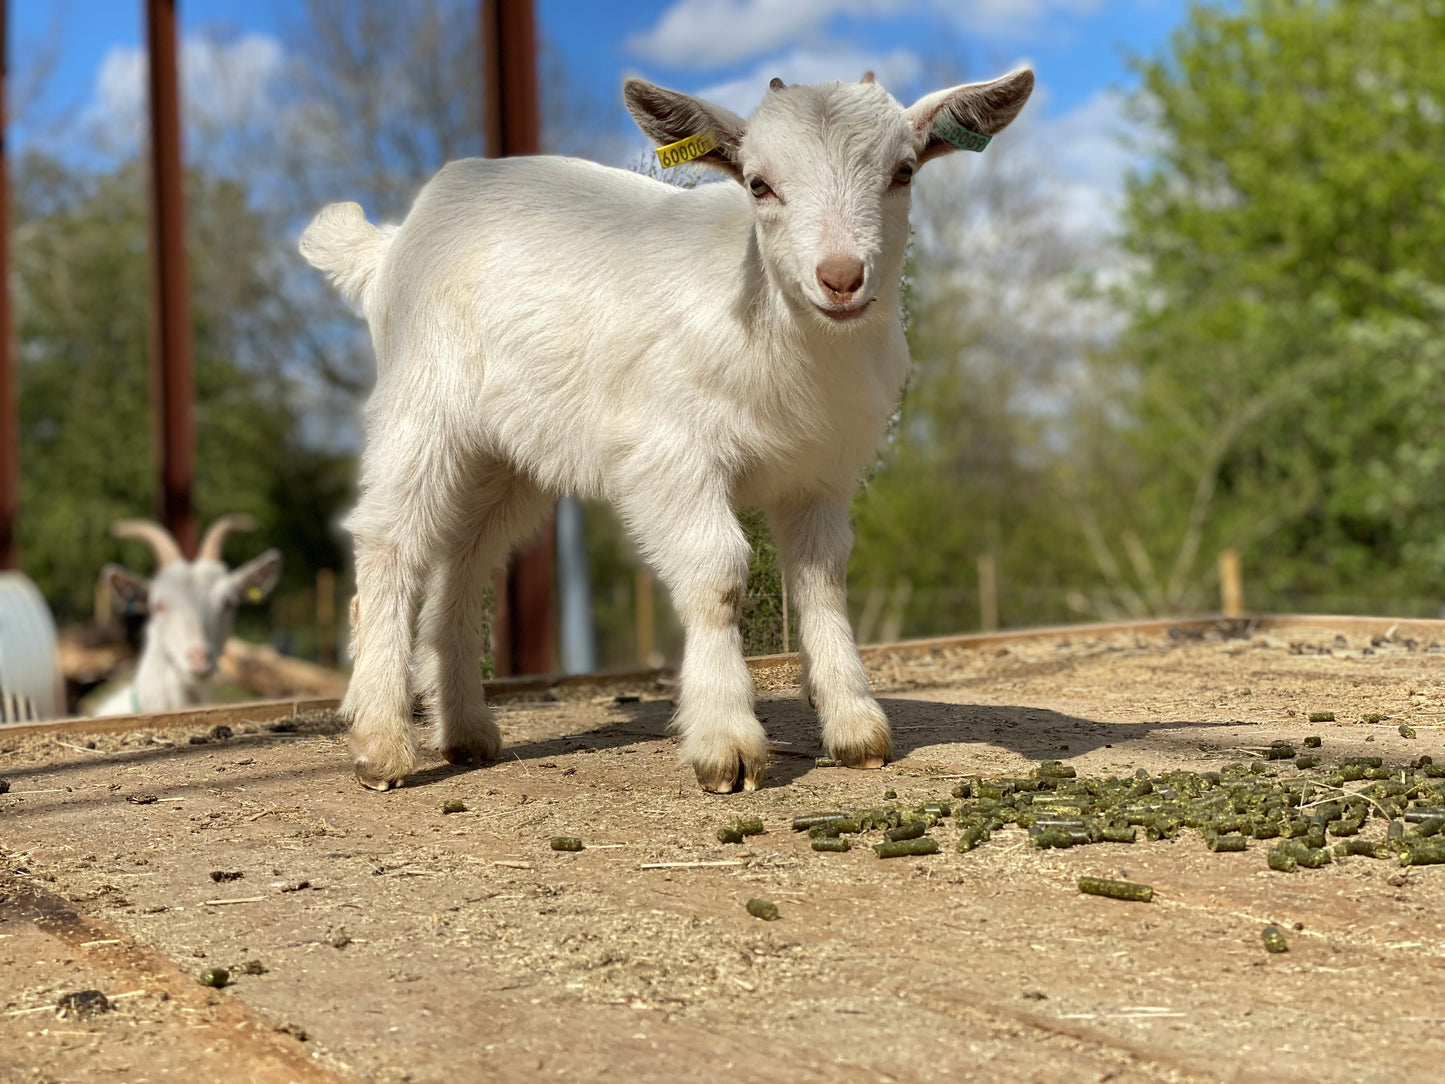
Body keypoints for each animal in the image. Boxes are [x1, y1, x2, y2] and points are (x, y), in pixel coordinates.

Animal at [300, 68, 1034, 792]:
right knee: (388, 541)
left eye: (903, 172)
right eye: (759, 184)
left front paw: (855, 727)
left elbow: (821, 582)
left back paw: (466, 734)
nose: (841, 277)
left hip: (506, 457)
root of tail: (392, 244)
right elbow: (718, 575)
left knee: (463, 564)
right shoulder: (672, 454)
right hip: (423, 409)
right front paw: (726, 746)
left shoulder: (819, 473)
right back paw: (380, 745)